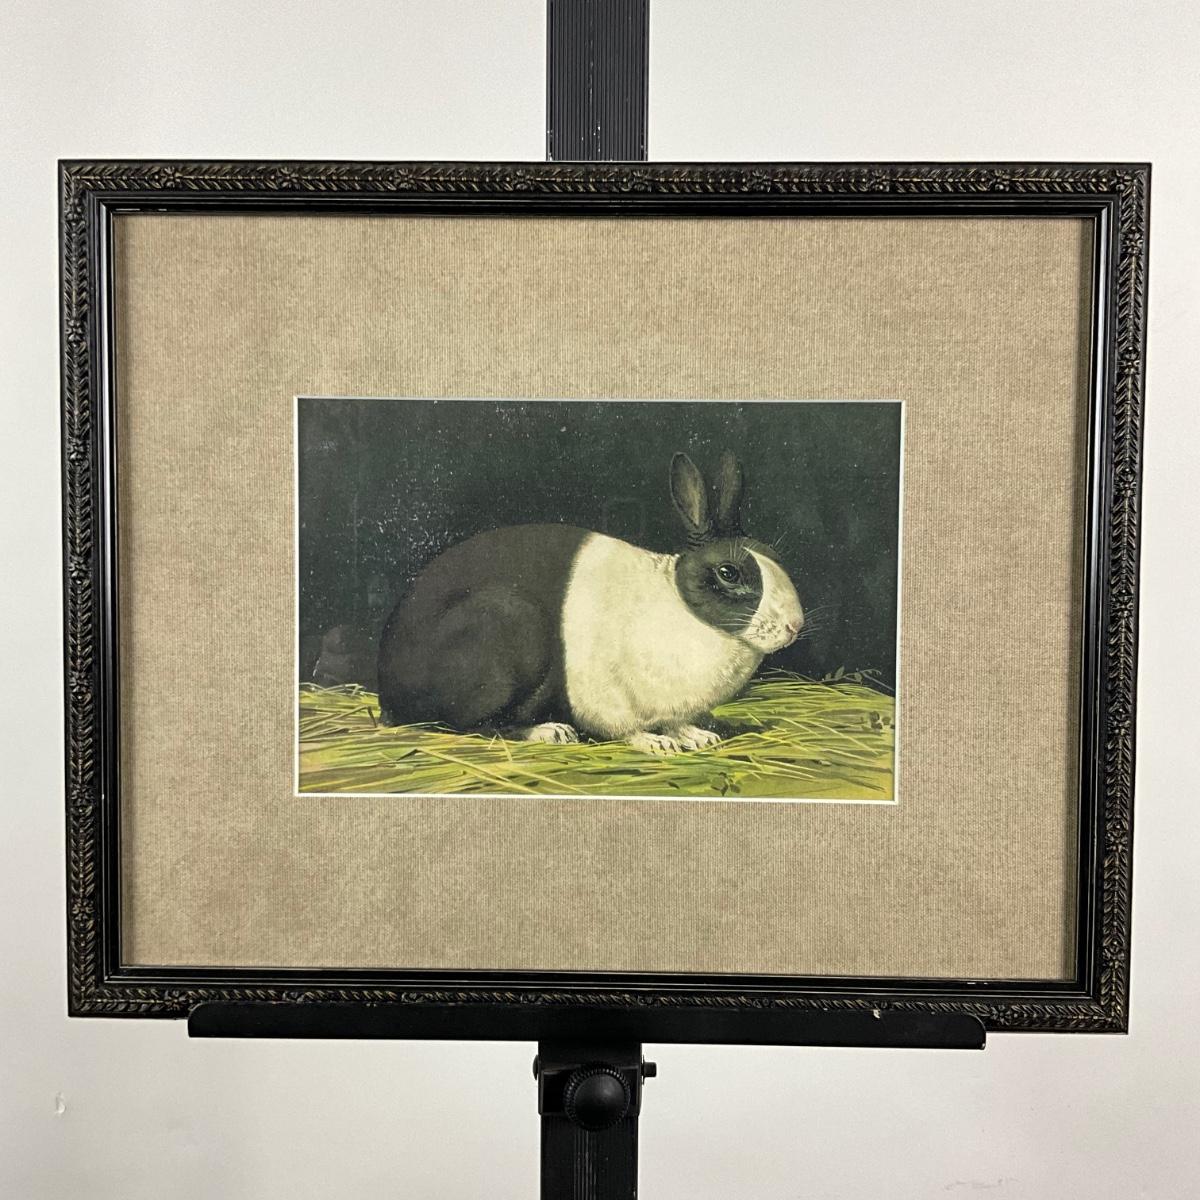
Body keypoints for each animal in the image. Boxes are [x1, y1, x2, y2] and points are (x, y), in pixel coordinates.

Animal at [376, 451, 804, 755]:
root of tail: (389, 693)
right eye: (729, 573)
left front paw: (697, 737)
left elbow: (676, 722)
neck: (684, 610)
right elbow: (626, 728)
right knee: (474, 725)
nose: (795, 626)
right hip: (508, 628)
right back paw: (550, 731)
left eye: (774, 556)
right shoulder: (610, 699)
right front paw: (657, 743)